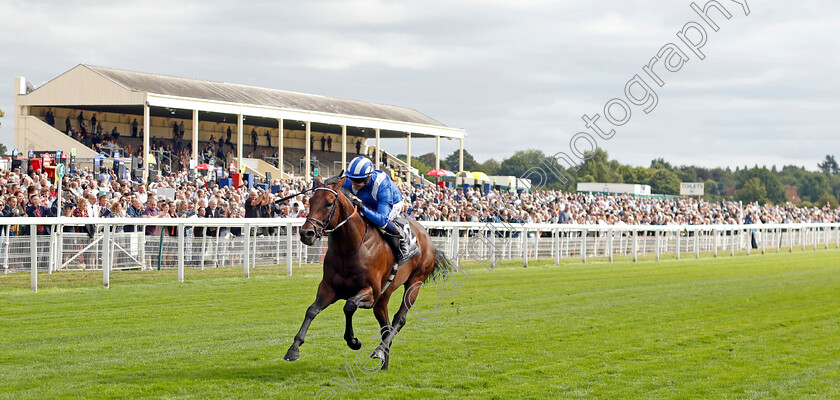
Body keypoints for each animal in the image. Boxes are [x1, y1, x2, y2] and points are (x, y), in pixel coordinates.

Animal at [284, 175, 452, 368]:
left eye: (328, 203)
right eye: (310, 201)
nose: (306, 233)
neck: (351, 247)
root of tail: (426, 235)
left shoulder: (371, 293)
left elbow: (349, 305)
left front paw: (353, 341)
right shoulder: (329, 288)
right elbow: (311, 310)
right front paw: (294, 349)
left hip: (414, 282)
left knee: (399, 319)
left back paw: (379, 350)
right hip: (383, 298)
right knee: (386, 327)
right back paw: (384, 364)